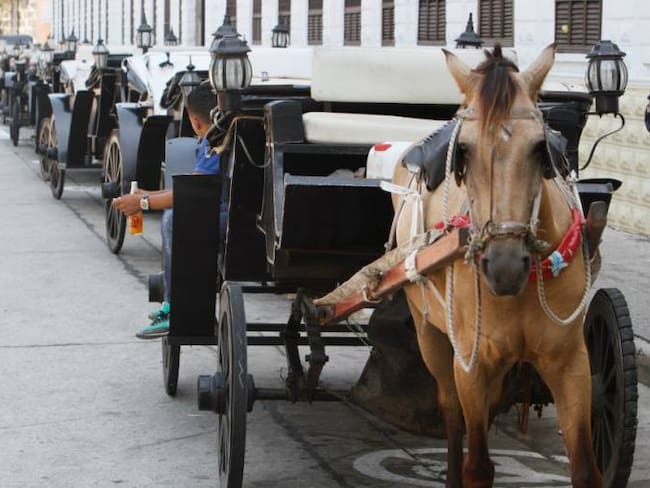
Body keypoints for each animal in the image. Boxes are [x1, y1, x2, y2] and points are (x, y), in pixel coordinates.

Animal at [391, 44, 600, 487]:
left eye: (540, 148)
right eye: (464, 151)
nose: (504, 267)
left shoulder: (572, 361)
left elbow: (585, 468)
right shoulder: (472, 362)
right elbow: (478, 464)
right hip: (430, 334)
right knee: (451, 410)